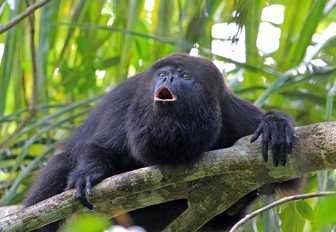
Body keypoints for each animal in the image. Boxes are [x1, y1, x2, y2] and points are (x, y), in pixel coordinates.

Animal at [25, 53, 296, 232]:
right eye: (162, 74)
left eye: (186, 76)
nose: (169, 79)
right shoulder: (129, 99)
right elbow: (102, 147)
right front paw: (88, 174)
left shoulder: (230, 110)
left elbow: (288, 177)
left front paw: (275, 125)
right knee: (58, 169)